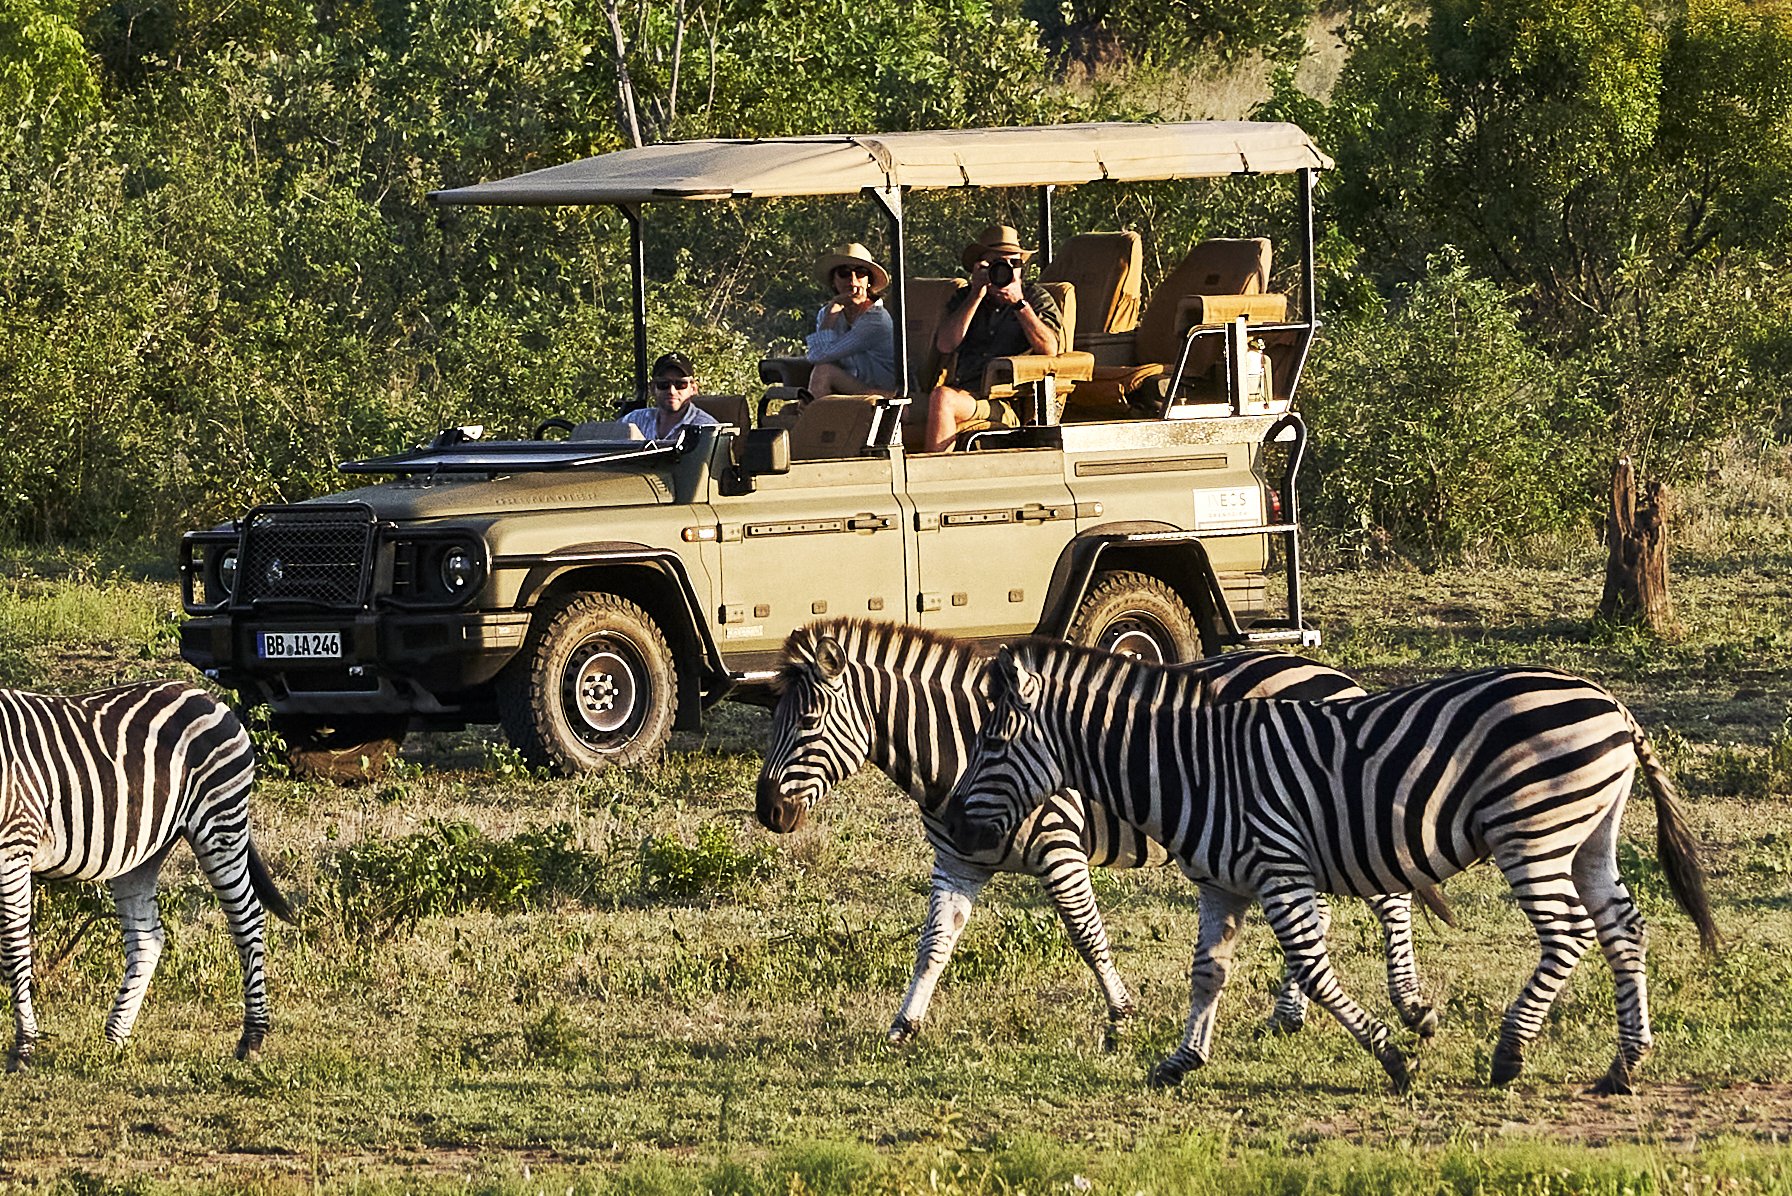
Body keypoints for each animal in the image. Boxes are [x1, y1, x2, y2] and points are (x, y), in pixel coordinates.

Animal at [0, 681, 293, 1075]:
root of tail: (206, 694)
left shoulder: (13, 846)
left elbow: (14, 951)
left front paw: (23, 1048)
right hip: (141, 851)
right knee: (148, 939)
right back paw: (114, 1038)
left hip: (220, 824)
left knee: (247, 919)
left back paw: (253, 1037)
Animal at [752, 624, 1426, 1054]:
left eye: (807, 721)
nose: (766, 812)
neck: (962, 747)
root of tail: (1333, 673)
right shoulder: (958, 858)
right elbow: (934, 944)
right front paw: (903, 1026)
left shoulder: (1059, 847)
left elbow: (1085, 934)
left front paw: (1121, 1019)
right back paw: (1288, 1016)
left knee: (1391, 899)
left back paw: (1409, 1005)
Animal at [946, 641, 1727, 1097]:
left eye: (991, 743)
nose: (954, 826)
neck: (1194, 767)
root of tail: (1615, 705)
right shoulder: (1221, 882)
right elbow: (1208, 972)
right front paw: (1180, 1061)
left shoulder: (1279, 866)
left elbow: (1314, 971)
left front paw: (1395, 1060)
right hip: (1589, 832)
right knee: (1623, 927)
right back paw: (1624, 1065)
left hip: (1531, 830)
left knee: (1568, 934)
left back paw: (1509, 1055)